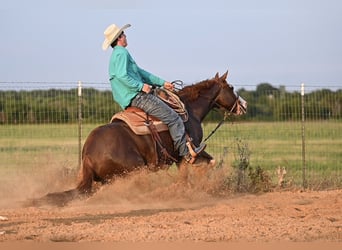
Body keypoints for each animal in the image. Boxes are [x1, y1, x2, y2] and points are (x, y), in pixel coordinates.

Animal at [31, 71, 246, 207]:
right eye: (231, 87)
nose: (243, 106)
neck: (190, 110)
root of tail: (88, 155)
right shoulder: (188, 153)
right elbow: (201, 167)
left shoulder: (184, 157)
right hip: (135, 170)